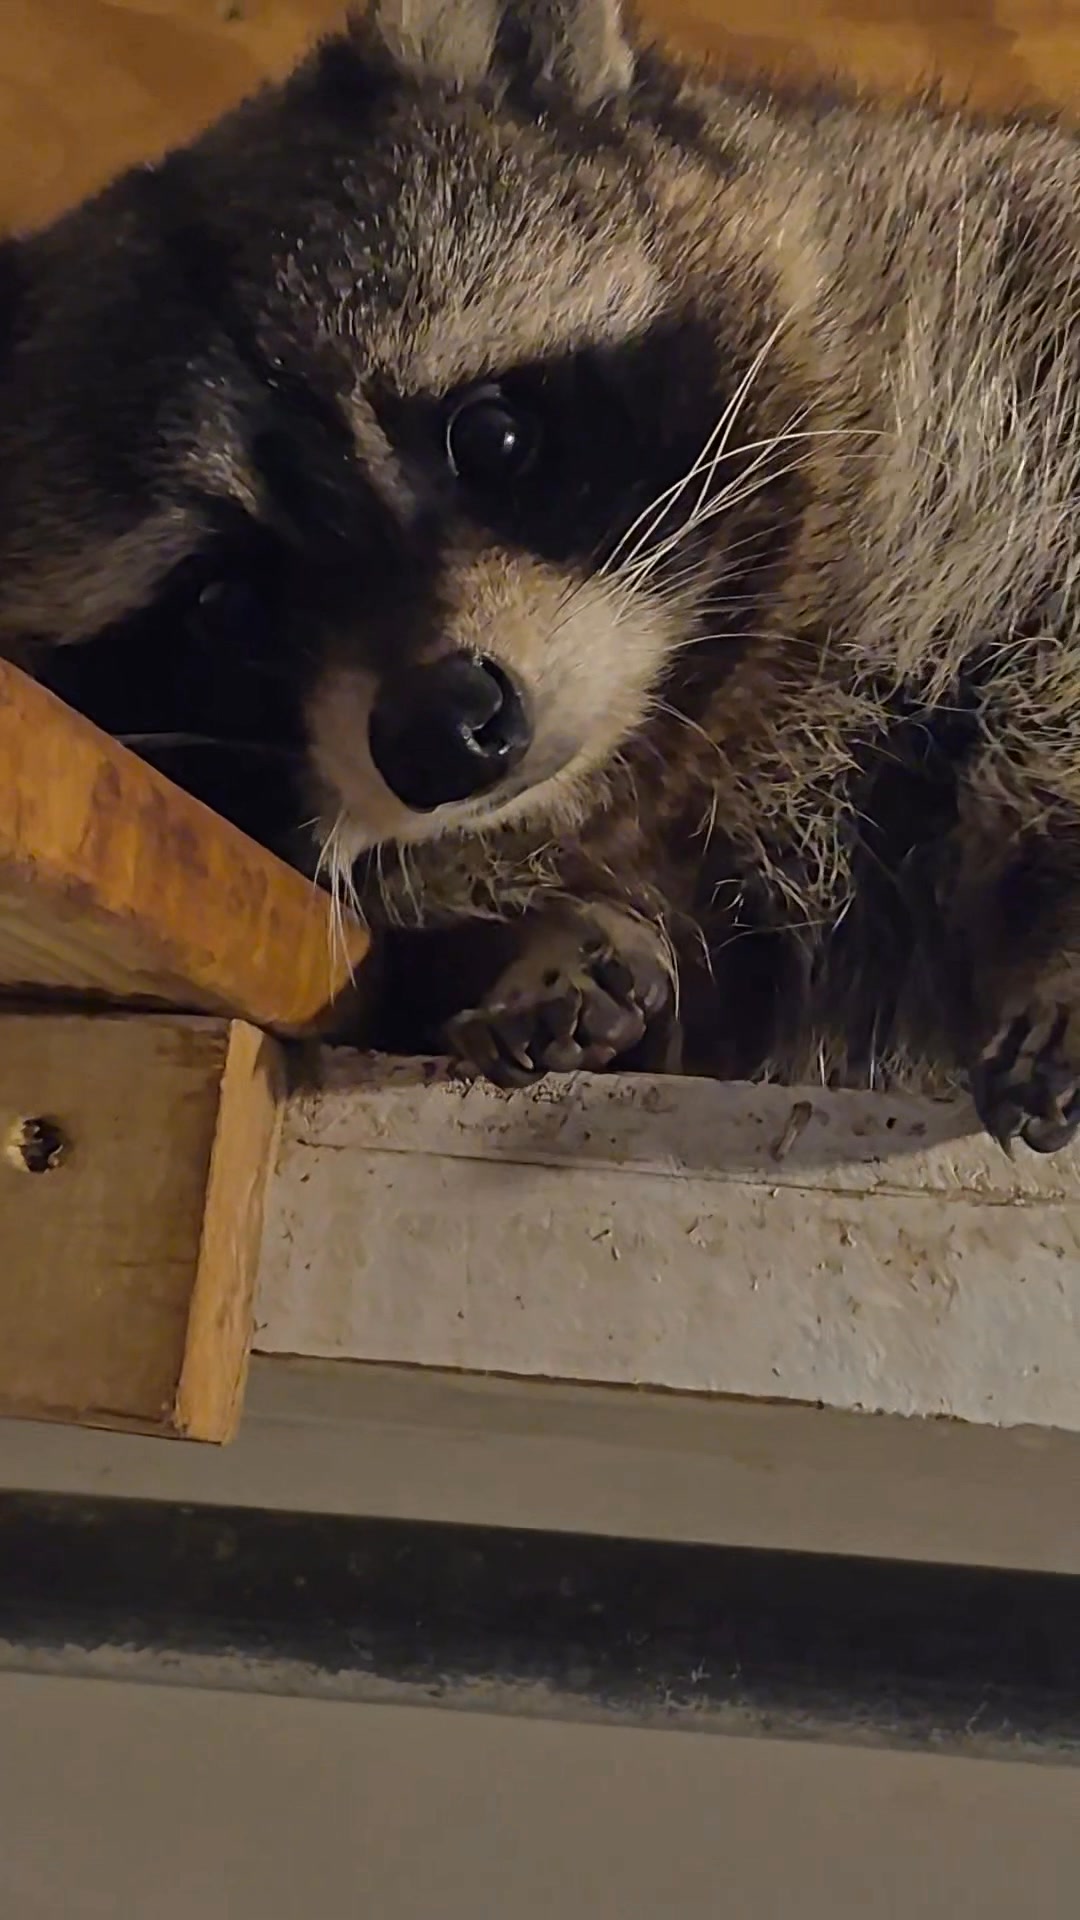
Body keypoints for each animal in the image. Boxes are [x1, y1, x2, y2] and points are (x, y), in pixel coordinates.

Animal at [4, 0, 1080, 1151]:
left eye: (492, 434)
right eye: (226, 606)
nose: (439, 730)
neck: (658, 749)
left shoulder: (990, 334)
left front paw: (1059, 929)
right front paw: (533, 935)